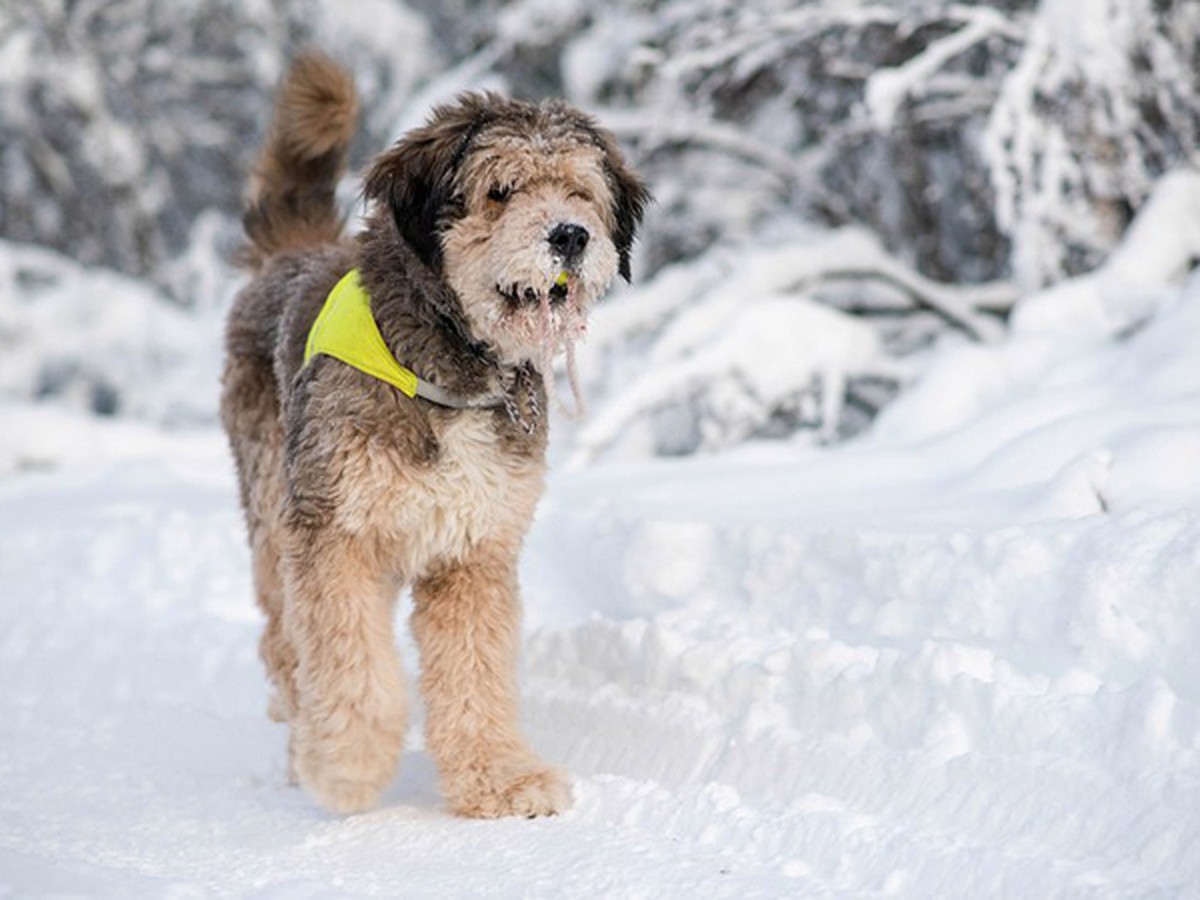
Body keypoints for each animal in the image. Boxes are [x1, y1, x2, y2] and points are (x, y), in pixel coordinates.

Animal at [218, 52, 648, 820]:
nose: (569, 235)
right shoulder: (334, 531)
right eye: (500, 191)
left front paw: (499, 779)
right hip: (271, 507)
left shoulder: (472, 550)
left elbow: (475, 672)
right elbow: (349, 657)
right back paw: (303, 741)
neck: (453, 364)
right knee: (284, 639)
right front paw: (349, 762)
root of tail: (289, 257)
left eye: (579, 191)